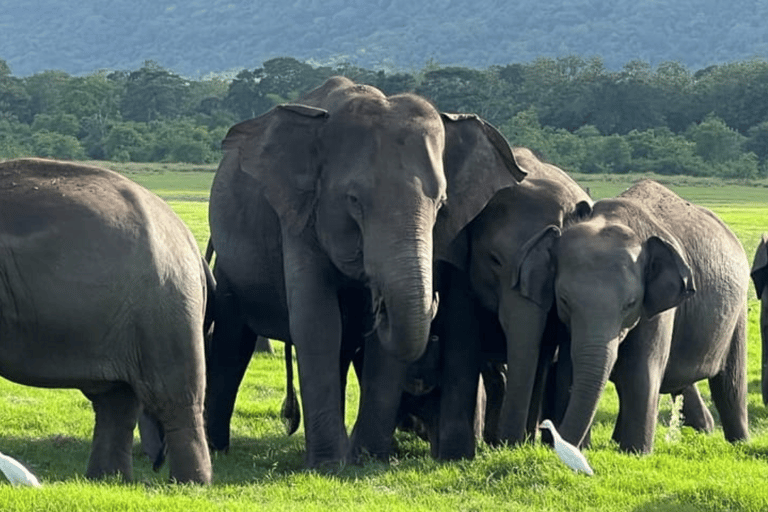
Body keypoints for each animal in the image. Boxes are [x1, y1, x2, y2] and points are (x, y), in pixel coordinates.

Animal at [0, 158, 212, 482]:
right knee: (116, 401)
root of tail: (188, 241)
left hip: (167, 307)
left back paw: (191, 484)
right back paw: (107, 479)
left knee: (174, 397)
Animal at [204, 77, 528, 468]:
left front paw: (367, 461)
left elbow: (379, 350)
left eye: (441, 204)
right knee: (233, 341)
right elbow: (317, 321)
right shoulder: (300, 219)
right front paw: (329, 466)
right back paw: (217, 448)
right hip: (230, 267)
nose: (377, 301)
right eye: (354, 201)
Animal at [392, 149, 592, 460]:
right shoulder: (459, 258)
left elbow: (538, 353)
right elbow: (464, 334)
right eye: (495, 260)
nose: (510, 445)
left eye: (556, 266)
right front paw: (458, 455)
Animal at [516, 179, 752, 452]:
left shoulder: (660, 308)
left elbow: (641, 370)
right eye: (564, 300)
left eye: (630, 304)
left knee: (730, 383)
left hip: (738, 311)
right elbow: (569, 367)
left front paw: (636, 453)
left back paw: (740, 443)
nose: (556, 442)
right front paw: (587, 448)